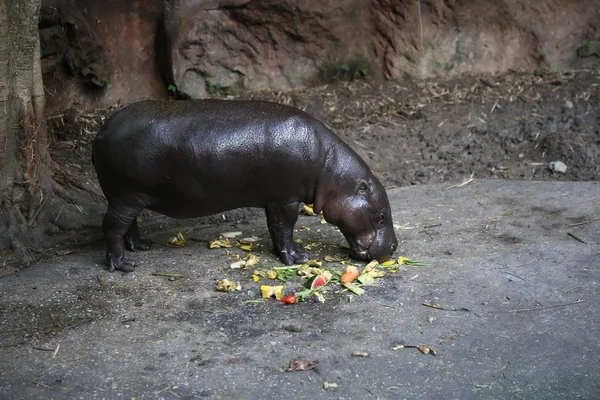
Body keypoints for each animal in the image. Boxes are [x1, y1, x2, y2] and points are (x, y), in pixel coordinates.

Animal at [91, 100, 398, 272]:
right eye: (381, 215)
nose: (394, 247)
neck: (330, 170)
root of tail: (102, 131)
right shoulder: (287, 199)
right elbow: (286, 228)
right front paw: (298, 257)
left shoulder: (274, 200)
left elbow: (275, 229)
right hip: (125, 195)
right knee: (112, 227)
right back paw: (123, 266)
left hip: (128, 197)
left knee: (128, 226)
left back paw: (142, 247)